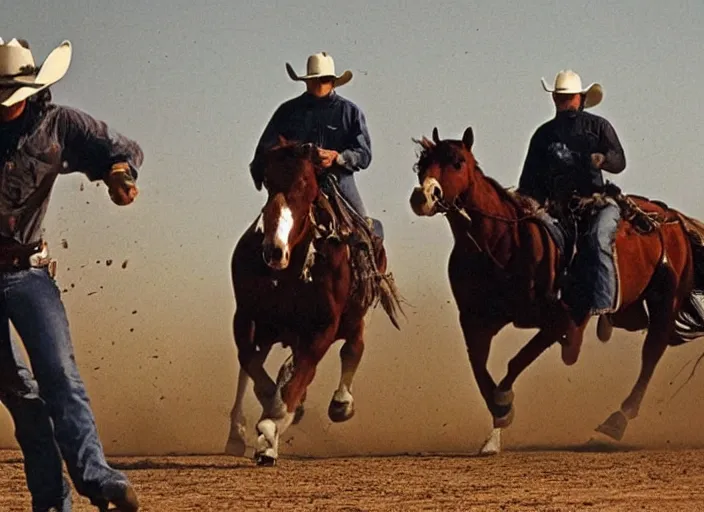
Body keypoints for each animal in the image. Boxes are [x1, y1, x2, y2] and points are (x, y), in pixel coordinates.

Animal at [226, 138, 402, 466]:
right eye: (268, 182)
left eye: (306, 184)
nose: (274, 251)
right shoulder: (246, 318)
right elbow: (253, 366)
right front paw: (276, 410)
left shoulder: (323, 327)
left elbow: (301, 372)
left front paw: (271, 429)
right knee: (252, 367)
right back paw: (236, 433)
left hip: (355, 314)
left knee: (353, 347)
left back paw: (340, 404)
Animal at [408, 126, 704, 454]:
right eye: (422, 165)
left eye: (458, 162)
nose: (423, 197)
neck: (501, 242)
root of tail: (671, 218)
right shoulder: (474, 322)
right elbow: (480, 370)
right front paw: (497, 422)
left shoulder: (559, 320)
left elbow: (518, 359)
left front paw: (504, 402)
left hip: (666, 298)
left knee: (652, 351)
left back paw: (617, 420)